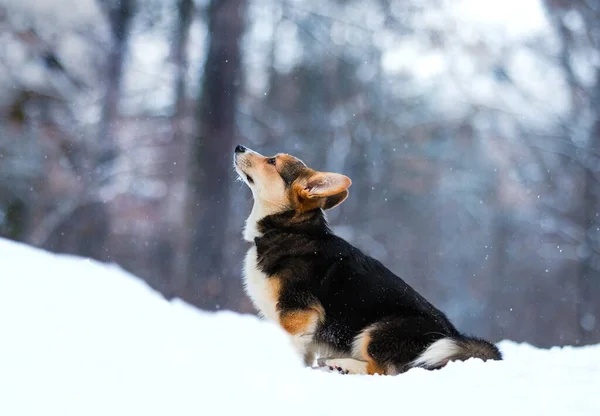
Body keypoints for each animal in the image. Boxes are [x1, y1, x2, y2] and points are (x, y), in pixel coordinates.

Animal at [234, 145, 502, 376]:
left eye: (272, 161)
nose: (238, 147)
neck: (288, 229)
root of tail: (453, 335)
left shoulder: (297, 314)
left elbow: (293, 346)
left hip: (378, 329)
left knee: (382, 370)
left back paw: (341, 364)